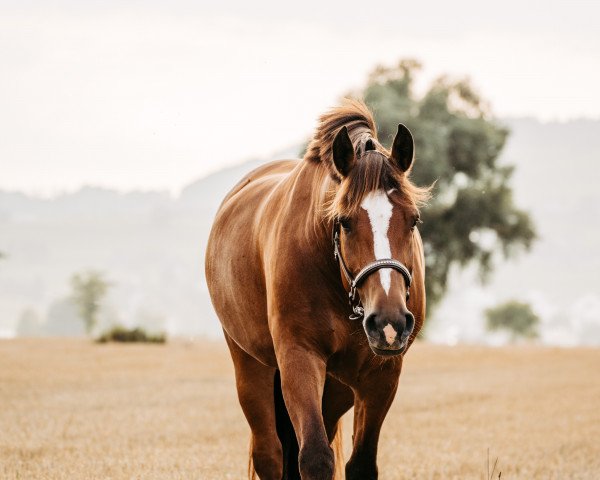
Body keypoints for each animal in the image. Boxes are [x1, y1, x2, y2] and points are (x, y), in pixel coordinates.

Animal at [207, 99, 432, 478]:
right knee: (270, 454)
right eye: (344, 221)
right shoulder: (299, 357)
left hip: (336, 388)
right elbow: (313, 457)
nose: (388, 323)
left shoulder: (382, 374)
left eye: (413, 220)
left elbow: (361, 464)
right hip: (251, 367)